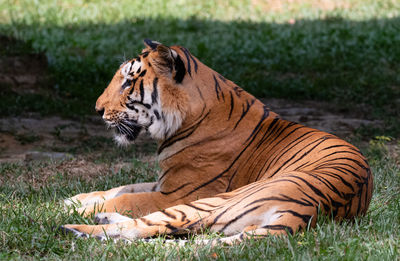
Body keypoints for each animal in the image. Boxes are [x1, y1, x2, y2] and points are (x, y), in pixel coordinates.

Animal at [61, 39, 374, 244]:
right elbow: (120, 188)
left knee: (153, 225)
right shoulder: (165, 181)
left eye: (128, 82)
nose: (97, 109)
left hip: (212, 201)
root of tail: (311, 210)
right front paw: (74, 199)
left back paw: (74, 226)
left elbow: (126, 197)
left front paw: (66, 207)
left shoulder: (178, 192)